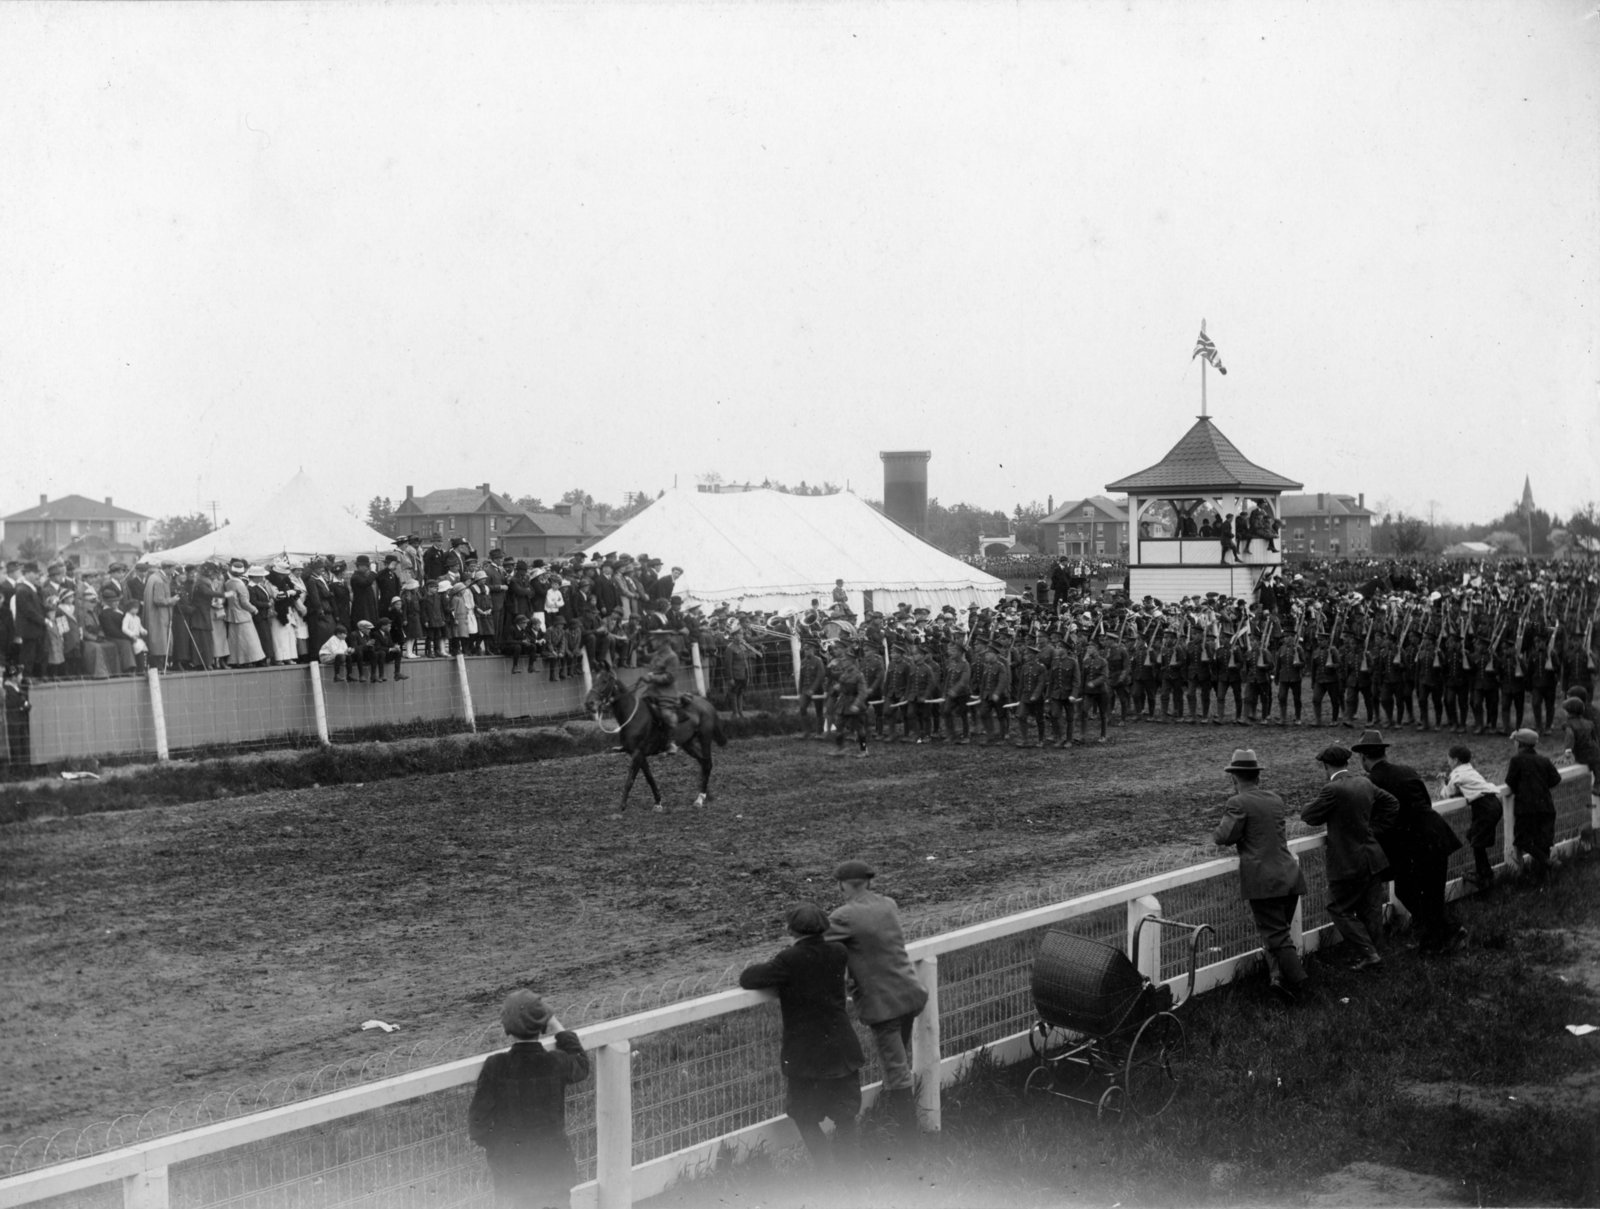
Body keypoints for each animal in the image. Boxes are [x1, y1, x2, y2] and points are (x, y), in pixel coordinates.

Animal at [585, 665, 729, 815]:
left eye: (605, 681)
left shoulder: (637, 754)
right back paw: (706, 794)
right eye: (594, 679)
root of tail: (708, 705)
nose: (589, 703)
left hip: (704, 738)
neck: (633, 715)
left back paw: (700, 799)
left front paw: (621, 807)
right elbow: (649, 778)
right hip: (688, 744)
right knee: (703, 763)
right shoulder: (640, 755)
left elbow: (630, 779)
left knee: (707, 764)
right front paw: (658, 802)